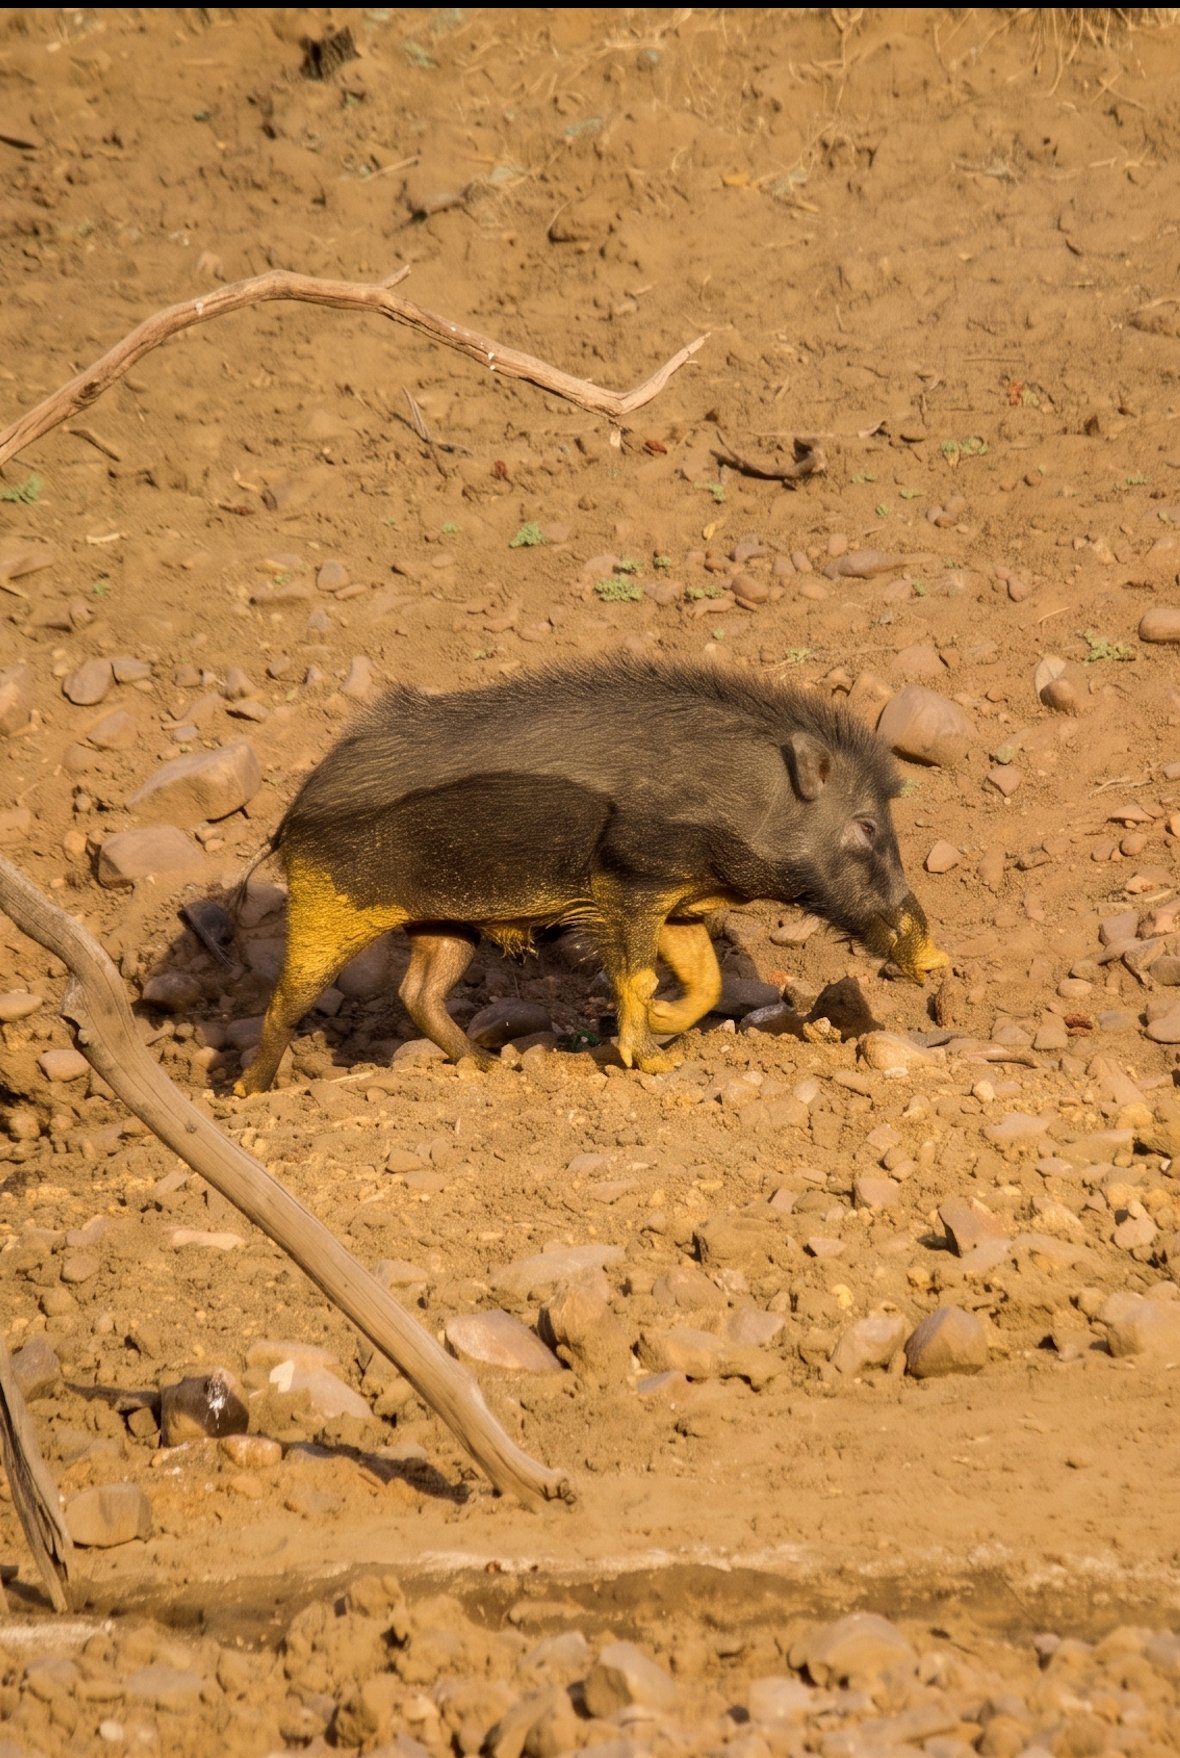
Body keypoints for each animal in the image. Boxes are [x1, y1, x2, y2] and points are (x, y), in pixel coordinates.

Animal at [234, 657, 947, 1094]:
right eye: (866, 827)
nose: (938, 960)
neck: (738, 808)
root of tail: (296, 811)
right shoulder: (628, 884)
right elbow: (636, 975)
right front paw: (651, 1061)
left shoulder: (679, 904)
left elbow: (707, 980)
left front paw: (664, 1028)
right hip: (330, 900)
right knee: (289, 995)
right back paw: (248, 1093)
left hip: (445, 921)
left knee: (420, 994)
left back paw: (488, 1067)